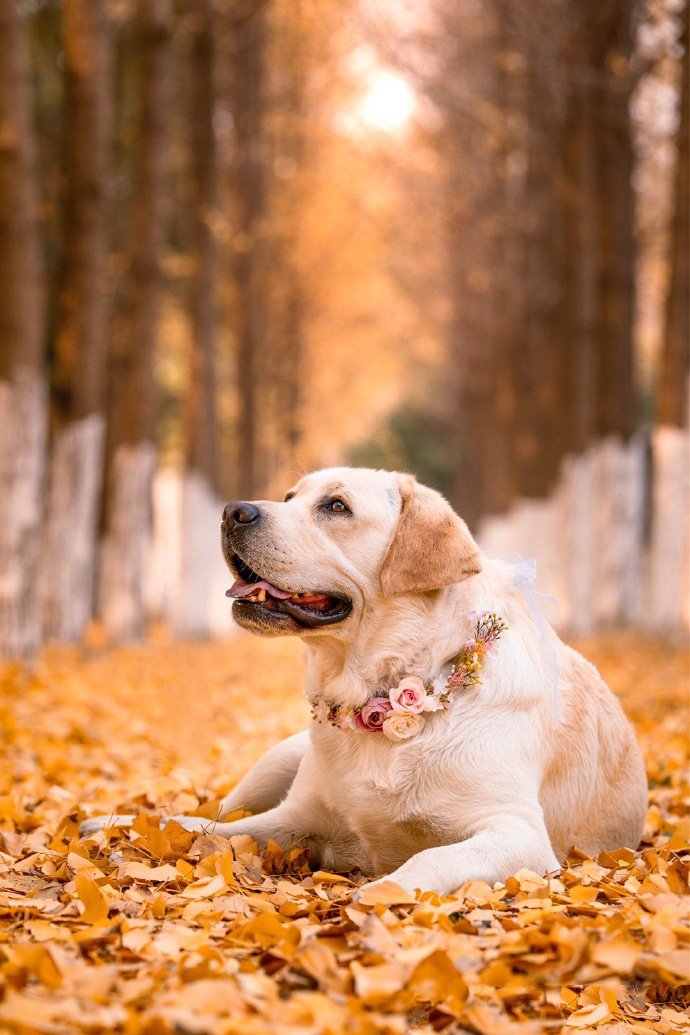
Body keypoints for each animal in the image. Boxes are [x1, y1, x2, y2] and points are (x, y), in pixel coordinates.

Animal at [81, 469, 649, 898]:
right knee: (212, 812)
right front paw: (137, 828)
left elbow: (429, 861)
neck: (385, 695)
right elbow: (210, 833)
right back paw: (110, 821)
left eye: (336, 507)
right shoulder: (296, 814)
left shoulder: (521, 836)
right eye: (290, 497)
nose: (232, 512)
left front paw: (377, 895)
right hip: (278, 759)